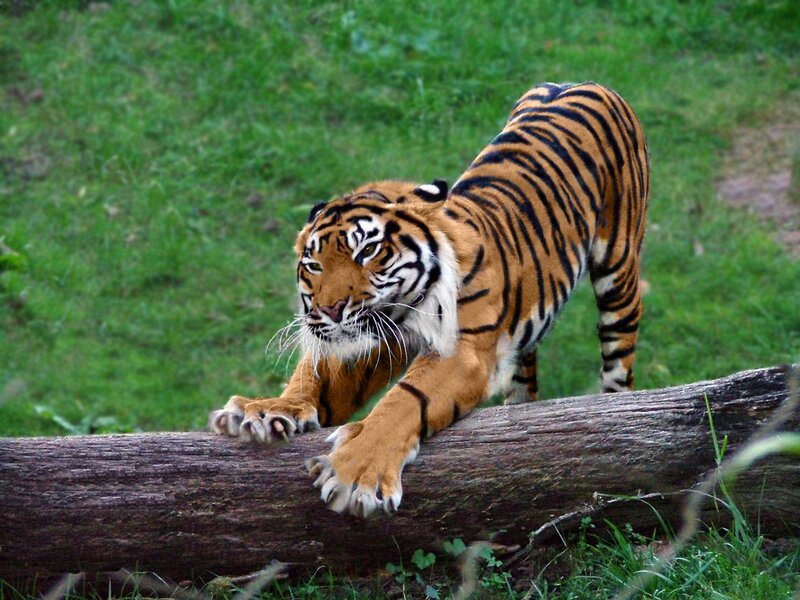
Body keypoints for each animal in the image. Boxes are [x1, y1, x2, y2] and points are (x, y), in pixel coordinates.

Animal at [210, 82, 649, 518]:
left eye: (367, 251)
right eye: (314, 265)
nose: (331, 309)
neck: (400, 309)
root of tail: (582, 83)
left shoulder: (460, 350)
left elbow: (404, 402)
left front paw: (357, 473)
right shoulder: (373, 339)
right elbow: (319, 379)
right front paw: (268, 409)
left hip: (619, 270)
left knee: (619, 360)